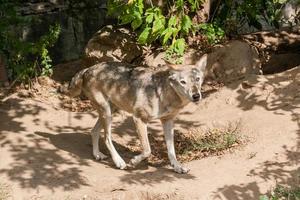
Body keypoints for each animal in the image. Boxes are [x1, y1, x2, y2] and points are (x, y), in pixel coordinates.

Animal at [65, 54, 206, 173]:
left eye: (197, 79)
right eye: (183, 82)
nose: (196, 96)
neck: (163, 94)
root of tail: (87, 69)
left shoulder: (168, 121)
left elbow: (171, 151)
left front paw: (177, 167)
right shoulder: (139, 119)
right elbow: (147, 150)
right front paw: (134, 162)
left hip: (109, 111)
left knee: (94, 131)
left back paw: (97, 155)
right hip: (107, 113)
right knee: (106, 137)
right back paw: (119, 162)